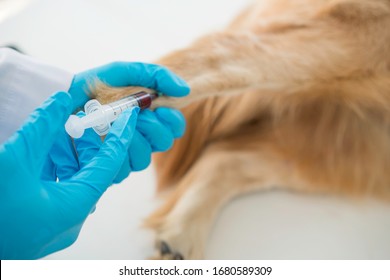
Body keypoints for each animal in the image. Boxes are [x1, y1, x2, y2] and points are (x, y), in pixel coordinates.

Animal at [93, 0, 390, 260]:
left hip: (350, 148)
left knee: (224, 156)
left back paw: (180, 236)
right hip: (362, 36)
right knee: (222, 54)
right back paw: (115, 106)